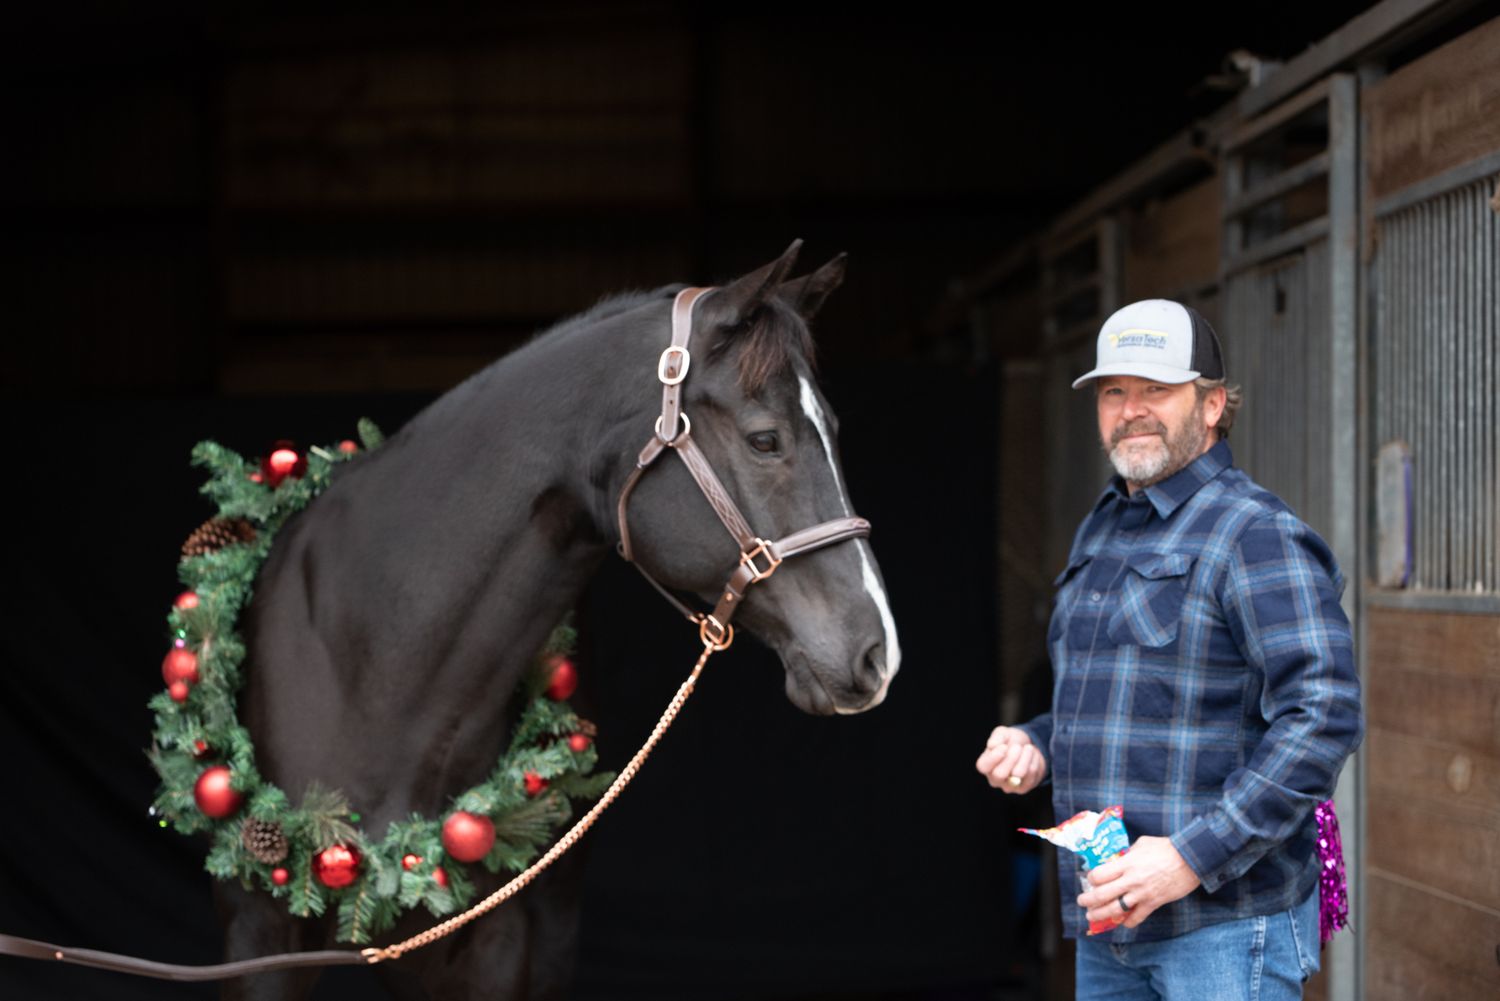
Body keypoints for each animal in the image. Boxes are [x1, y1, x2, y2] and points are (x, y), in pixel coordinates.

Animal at [216, 241, 901, 1000]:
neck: (369, 660)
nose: (878, 653)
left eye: (832, 431)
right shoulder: (258, 940)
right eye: (764, 440)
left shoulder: (496, 948)